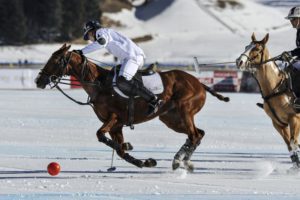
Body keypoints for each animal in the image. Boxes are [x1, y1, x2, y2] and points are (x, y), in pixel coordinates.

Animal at [35, 44, 229, 172]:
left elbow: (101, 135)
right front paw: (144, 161)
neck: (99, 83)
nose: (39, 81)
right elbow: (119, 150)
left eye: (56, 60)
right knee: (197, 134)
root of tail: (200, 83)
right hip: (170, 118)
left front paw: (130, 148)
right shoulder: (116, 126)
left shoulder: (114, 118)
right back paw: (180, 160)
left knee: (194, 135)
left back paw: (182, 162)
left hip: (184, 110)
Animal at [236, 33, 300, 169]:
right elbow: (290, 145)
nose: (239, 61)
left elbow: (293, 143)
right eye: (246, 46)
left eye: (257, 49)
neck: (275, 87)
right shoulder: (277, 123)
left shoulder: (295, 118)